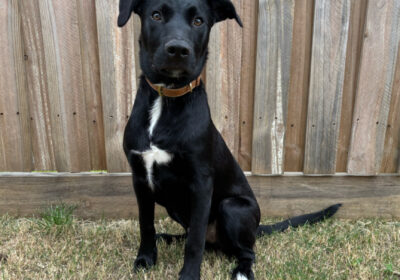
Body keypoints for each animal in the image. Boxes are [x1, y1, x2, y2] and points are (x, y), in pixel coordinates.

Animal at [118, 1, 340, 278]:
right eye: (156, 15)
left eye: (199, 21)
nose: (178, 49)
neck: (165, 99)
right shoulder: (140, 178)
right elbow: (146, 225)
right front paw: (145, 259)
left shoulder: (201, 184)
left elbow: (195, 241)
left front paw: (189, 274)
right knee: (195, 236)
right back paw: (167, 237)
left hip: (232, 208)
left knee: (243, 250)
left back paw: (242, 270)